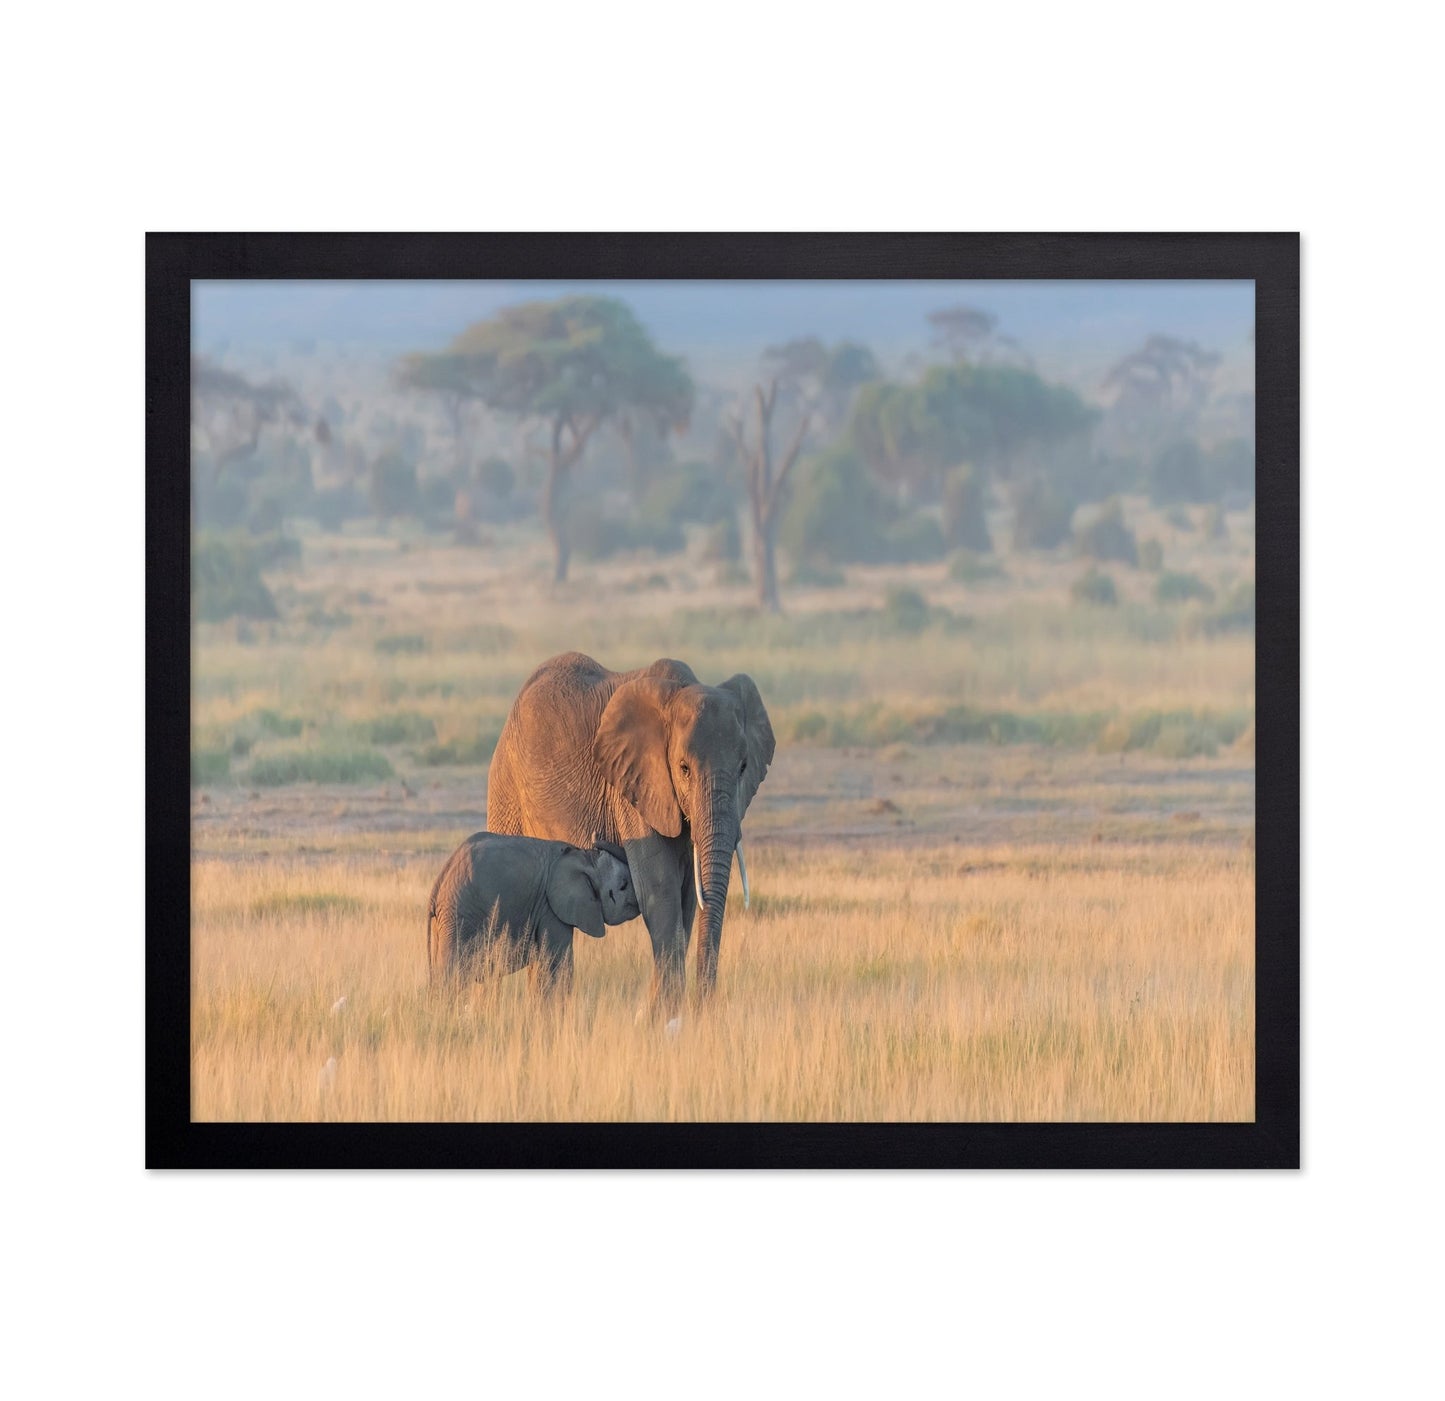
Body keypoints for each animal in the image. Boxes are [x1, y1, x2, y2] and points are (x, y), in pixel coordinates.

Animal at [426, 832, 638, 994]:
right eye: (624, 885)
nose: (597, 836)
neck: (586, 859)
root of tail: (438, 884)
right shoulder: (550, 908)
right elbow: (558, 964)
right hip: (460, 915)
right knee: (451, 975)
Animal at [486, 653, 775, 1017]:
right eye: (683, 769)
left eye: (743, 768)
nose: (703, 1007)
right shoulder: (634, 785)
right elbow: (660, 890)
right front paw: (664, 1016)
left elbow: (687, 898)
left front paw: (659, 1014)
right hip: (506, 786)